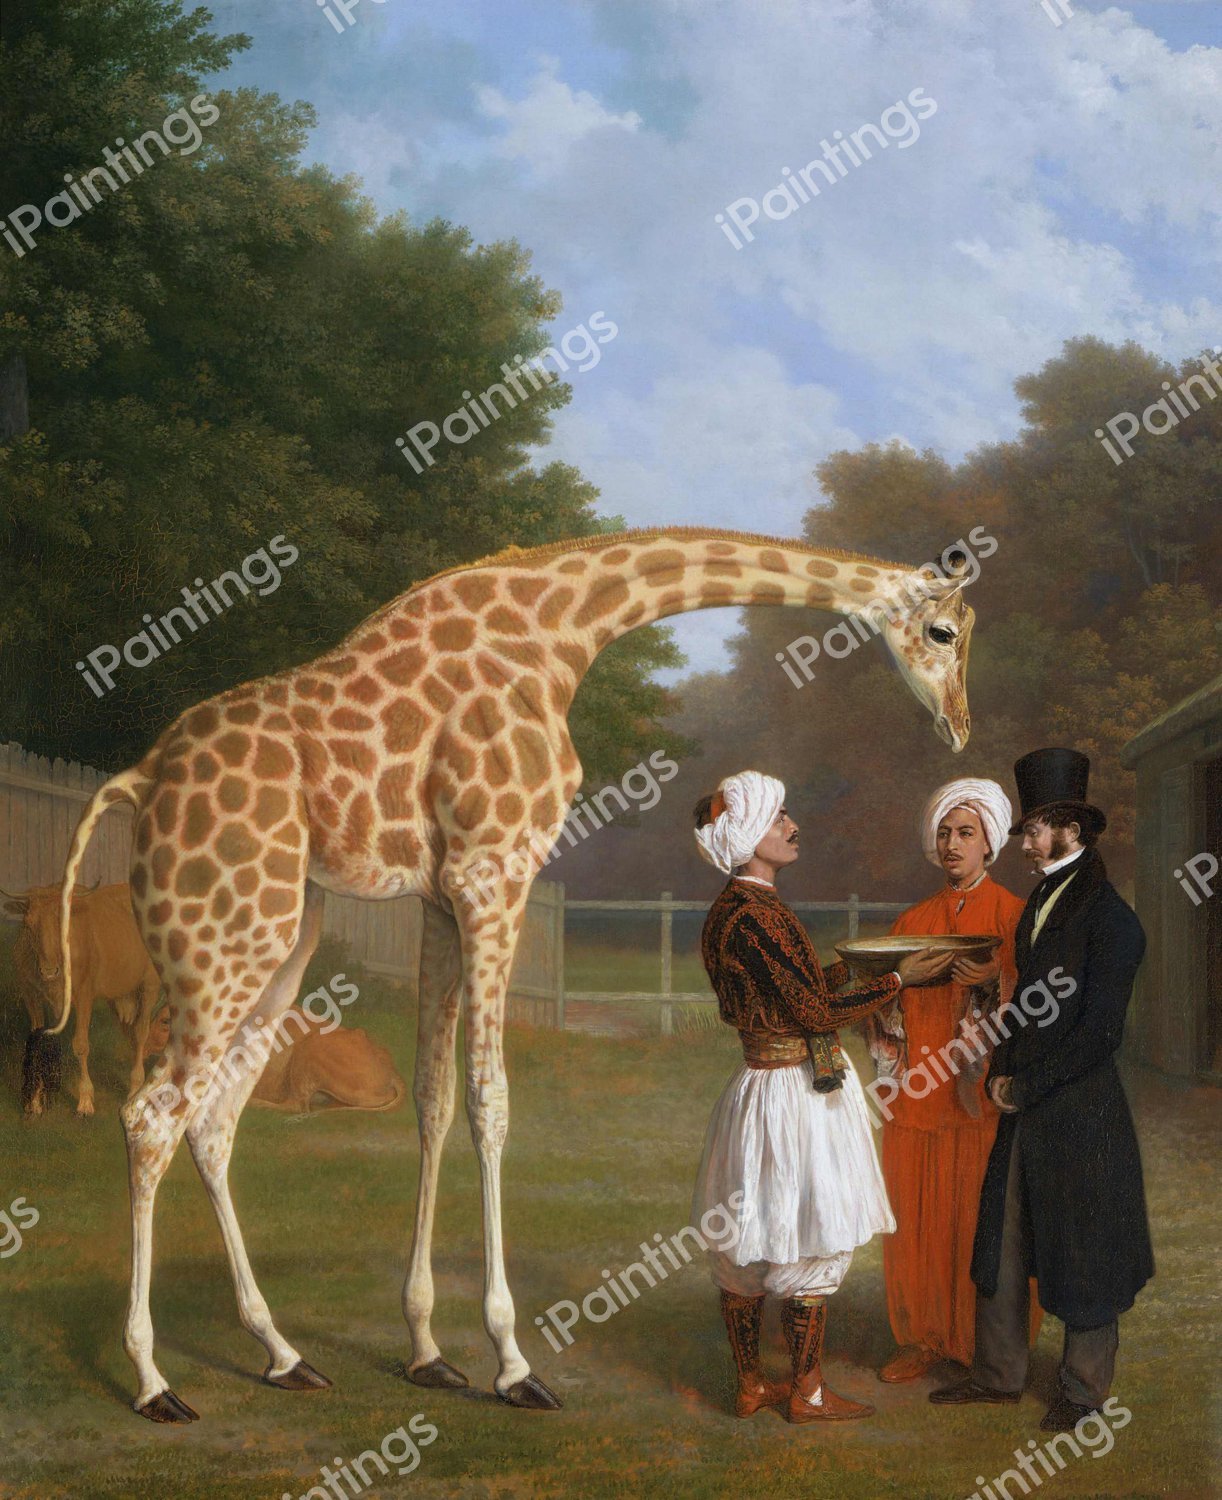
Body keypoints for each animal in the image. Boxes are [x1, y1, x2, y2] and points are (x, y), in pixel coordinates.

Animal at [47, 526, 977, 1422]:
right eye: (944, 631)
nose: (960, 727)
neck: (562, 627)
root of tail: (139, 779)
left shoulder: (437, 894)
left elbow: (432, 1098)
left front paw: (426, 1349)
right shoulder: (492, 871)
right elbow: (489, 1099)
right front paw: (513, 1362)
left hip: (282, 930)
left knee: (212, 1120)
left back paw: (283, 1355)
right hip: (231, 929)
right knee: (152, 1115)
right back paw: (153, 1381)